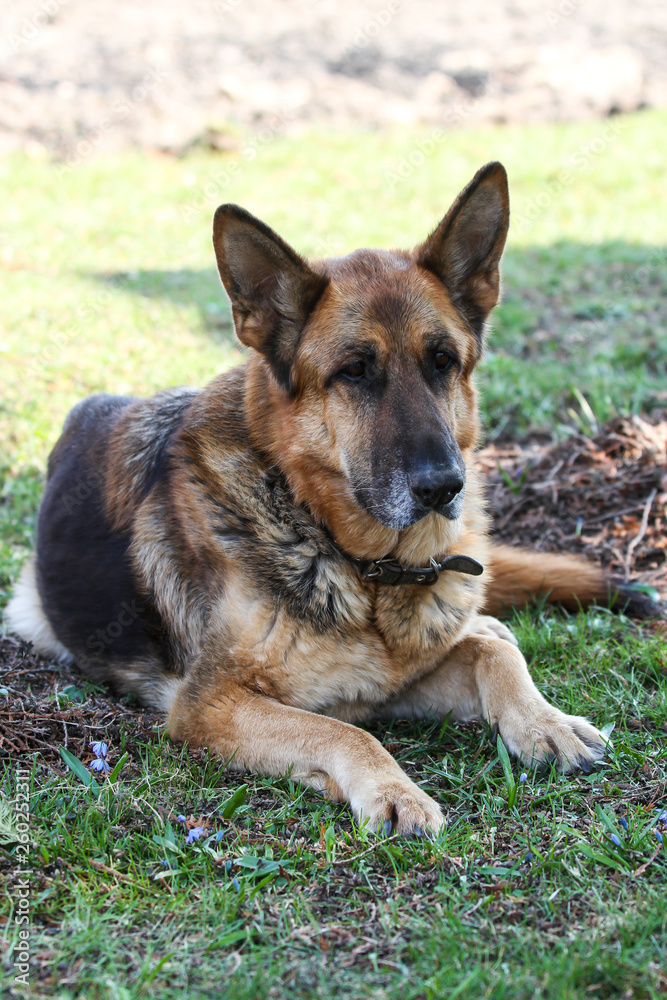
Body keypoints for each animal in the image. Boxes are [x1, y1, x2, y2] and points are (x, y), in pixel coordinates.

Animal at [5, 164, 656, 836]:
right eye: (354, 371)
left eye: (442, 360)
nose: (444, 487)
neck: (365, 567)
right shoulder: (211, 703)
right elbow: (344, 733)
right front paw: (394, 791)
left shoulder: (393, 678)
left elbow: (489, 656)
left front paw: (547, 724)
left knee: (488, 635)